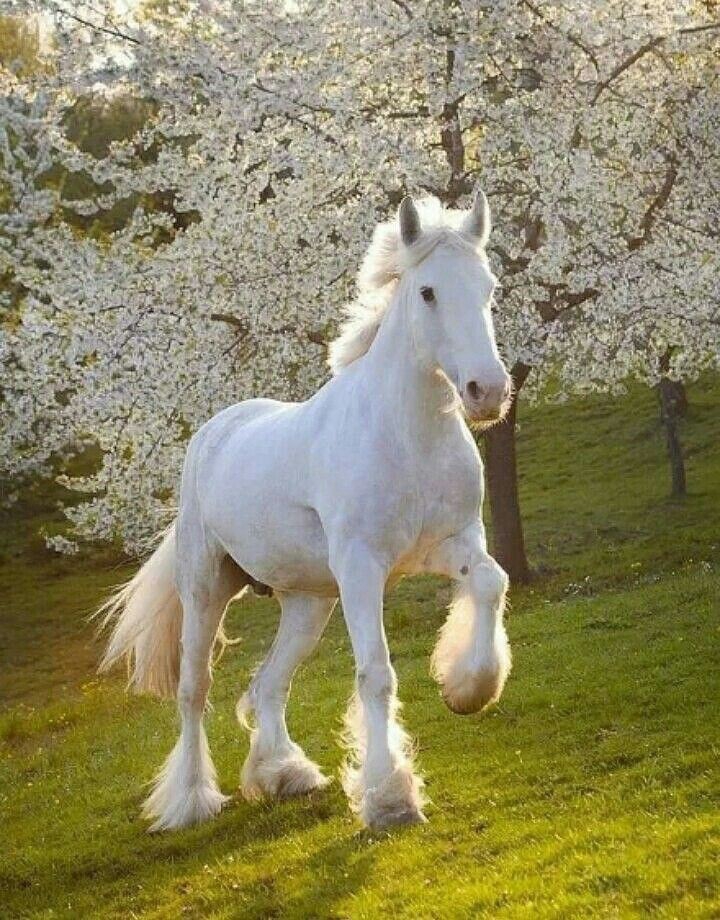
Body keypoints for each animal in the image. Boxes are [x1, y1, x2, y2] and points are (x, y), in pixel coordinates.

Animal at [98, 189, 513, 831]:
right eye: (427, 292)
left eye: (488, 286)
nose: (487, 392)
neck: (408, 434)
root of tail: (213, 433)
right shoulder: (363, 568)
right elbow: (376, 673)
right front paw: (389, 798)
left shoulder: (454, 543)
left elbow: (492, 582)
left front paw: (467, 689)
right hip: (206, 588)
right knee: (195, 690)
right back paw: (190, 801)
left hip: (308, 602)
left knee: (267, 685)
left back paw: (283, 774)